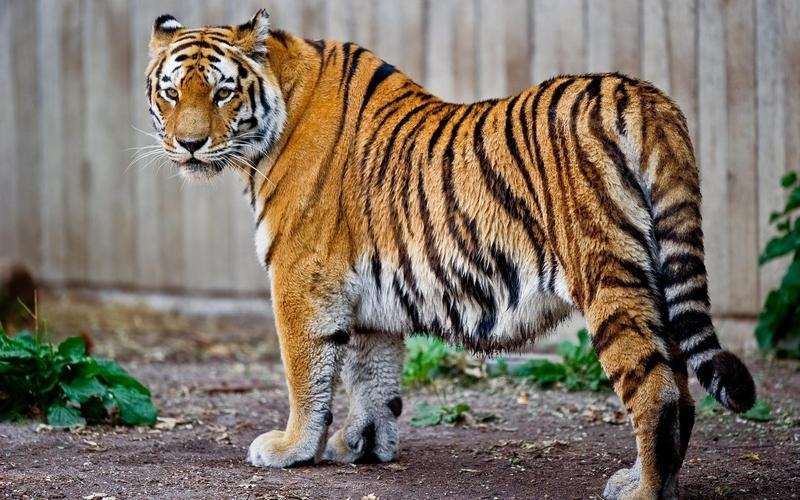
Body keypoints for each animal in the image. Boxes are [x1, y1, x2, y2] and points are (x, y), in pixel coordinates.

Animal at [145, 8, 756, 500]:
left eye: (222, 92)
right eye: (171, 93)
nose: (190, 145)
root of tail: (644, 96)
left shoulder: (300, 278)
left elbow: (306, 373)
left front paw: (291, 447)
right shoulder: (368, 294)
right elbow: (372, 376)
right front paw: (363, 445)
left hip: (607, 276)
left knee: (655, 391)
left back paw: (642, 492)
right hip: (655, 279)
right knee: (681, 389)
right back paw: (642, 480)